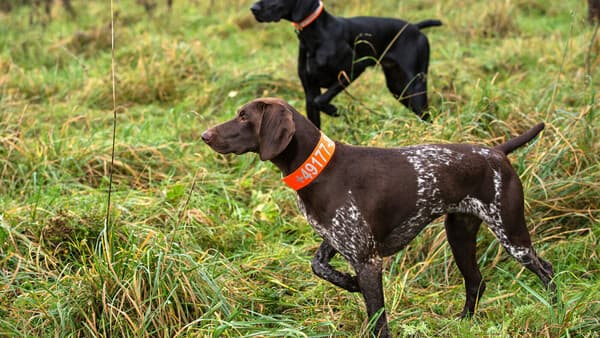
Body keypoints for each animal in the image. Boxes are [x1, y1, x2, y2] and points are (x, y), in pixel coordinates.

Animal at [203, 98, 556, 338]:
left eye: (244, 116)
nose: (205, 135)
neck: (320, 169)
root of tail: (496, 152)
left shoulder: (368, 259)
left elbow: (378, 321)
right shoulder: (338, 240)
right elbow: (318, 266)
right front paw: (349, 283)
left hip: (511, 235)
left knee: (546, 270)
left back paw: (557, 311)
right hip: (460, 234)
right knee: (476, 282)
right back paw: (464, 323)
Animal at [251, 0, 442, 128]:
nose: (253, 9)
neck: (316, 34)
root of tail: (415, 27)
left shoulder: (354, 69)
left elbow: (320, 100)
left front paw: (335, 110)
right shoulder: (310, 89)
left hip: (415, 85)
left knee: (427, 114)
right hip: (399, 89)